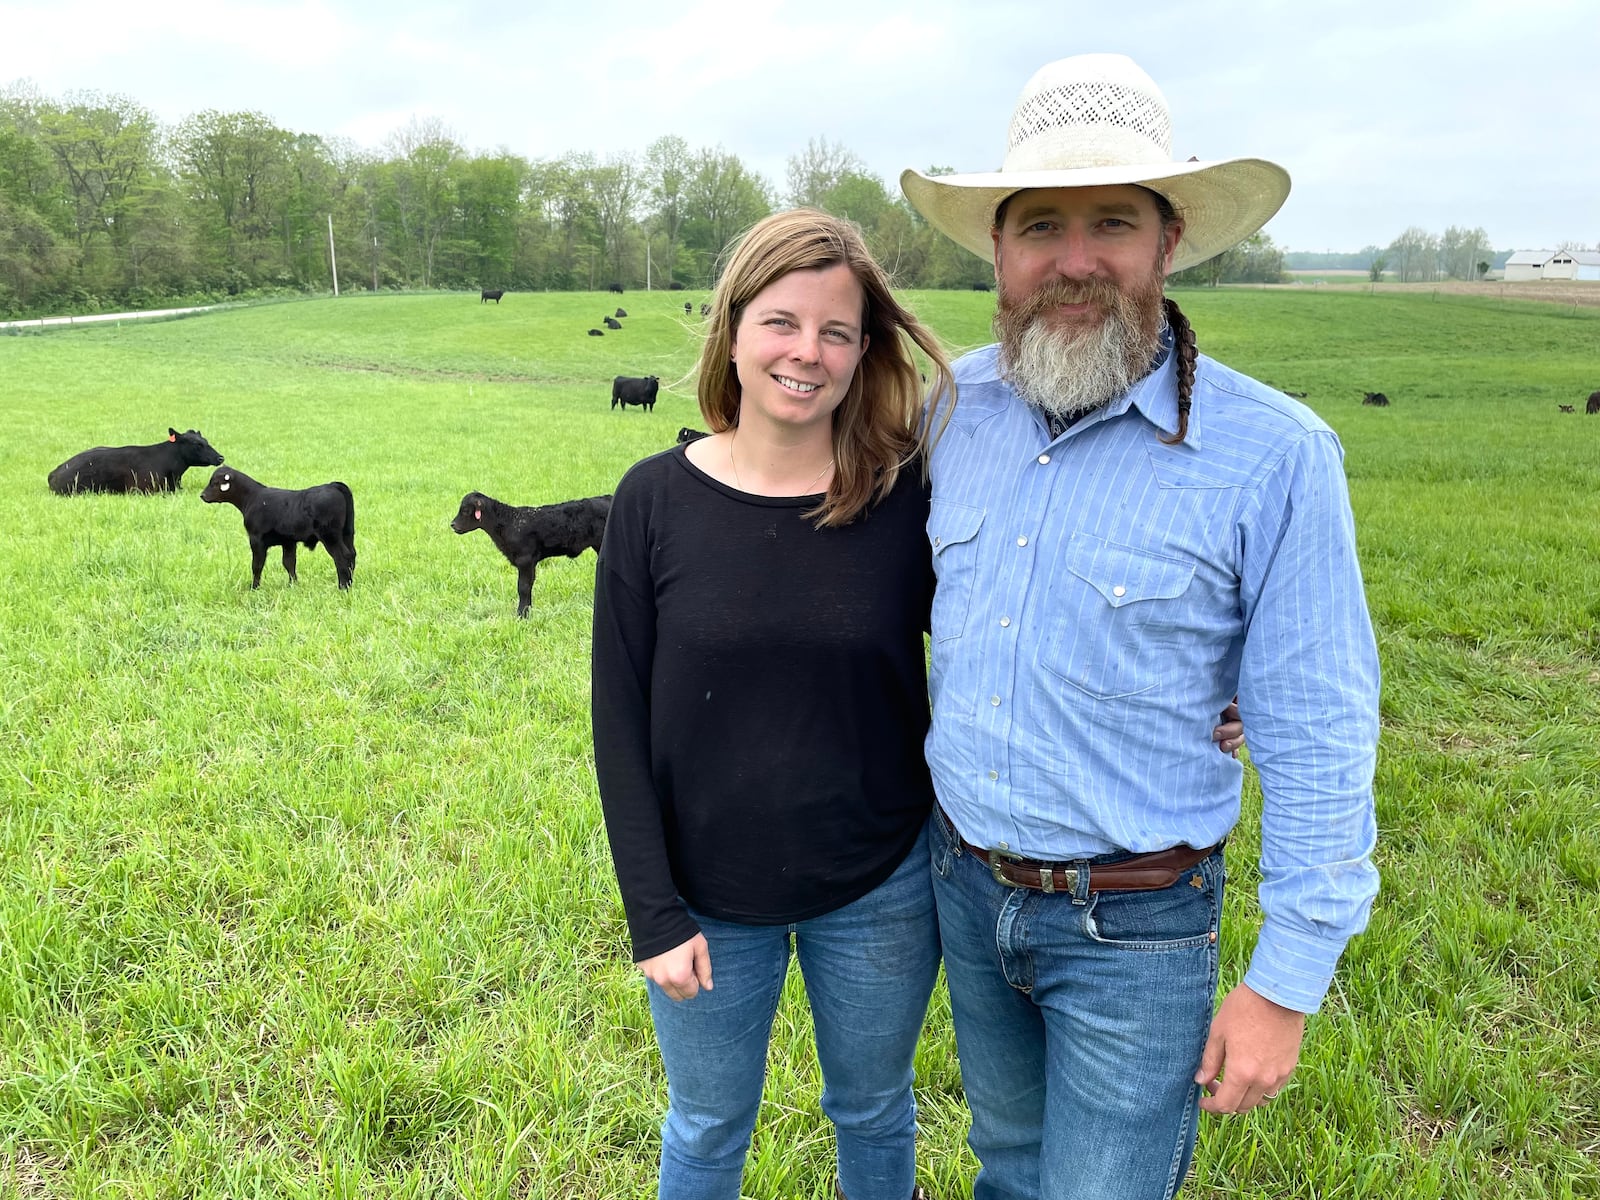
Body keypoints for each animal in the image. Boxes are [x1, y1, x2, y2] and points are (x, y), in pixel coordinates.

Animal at [203, 467, 356, 588]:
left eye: (215, 483)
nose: (202, 495)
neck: (252, 498)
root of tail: (332, 485)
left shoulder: (256, 540)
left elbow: (257, 565)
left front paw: (254, 588)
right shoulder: (288, 542)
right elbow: (289, 563)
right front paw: (293, 585)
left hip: (330, 536)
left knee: (342, 556)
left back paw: (343, 586)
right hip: (347, 534)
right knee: (352, 554)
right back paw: (349, 582)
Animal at [451, 489, 611, 620]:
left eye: (465, 510)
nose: (452, 525)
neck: (509, 524)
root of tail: (607, 497)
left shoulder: (525, 561)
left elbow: (523, 587)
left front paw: (522, 615)